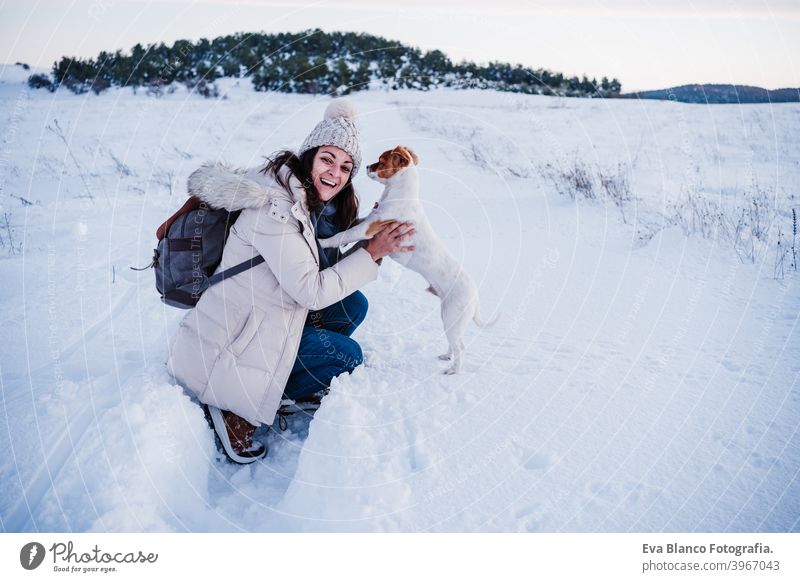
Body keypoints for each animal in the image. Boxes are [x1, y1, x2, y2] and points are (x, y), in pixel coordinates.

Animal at [318, 145, 494, 374]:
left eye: (381, 161)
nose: (367, 166)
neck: (399, 195)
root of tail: (474, 295)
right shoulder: (368, 221)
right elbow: (353, 223)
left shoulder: (368, 228)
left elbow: (343, 235)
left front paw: (323, 242)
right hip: (450, 318)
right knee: (455, 344)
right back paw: (447, 356)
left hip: (452, 317)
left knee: (461, 347)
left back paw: (453, 370)